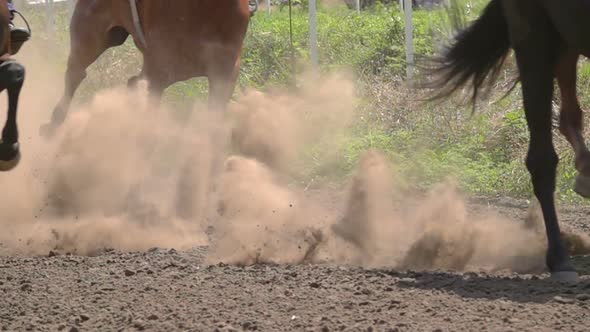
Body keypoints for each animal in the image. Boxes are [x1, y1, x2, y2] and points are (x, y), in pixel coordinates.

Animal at [40, 0, 253, 136]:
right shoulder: (158, 70)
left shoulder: (225, 72)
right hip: (92, 33)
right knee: (75, 72)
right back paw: (54, 123)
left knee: (131, 82)